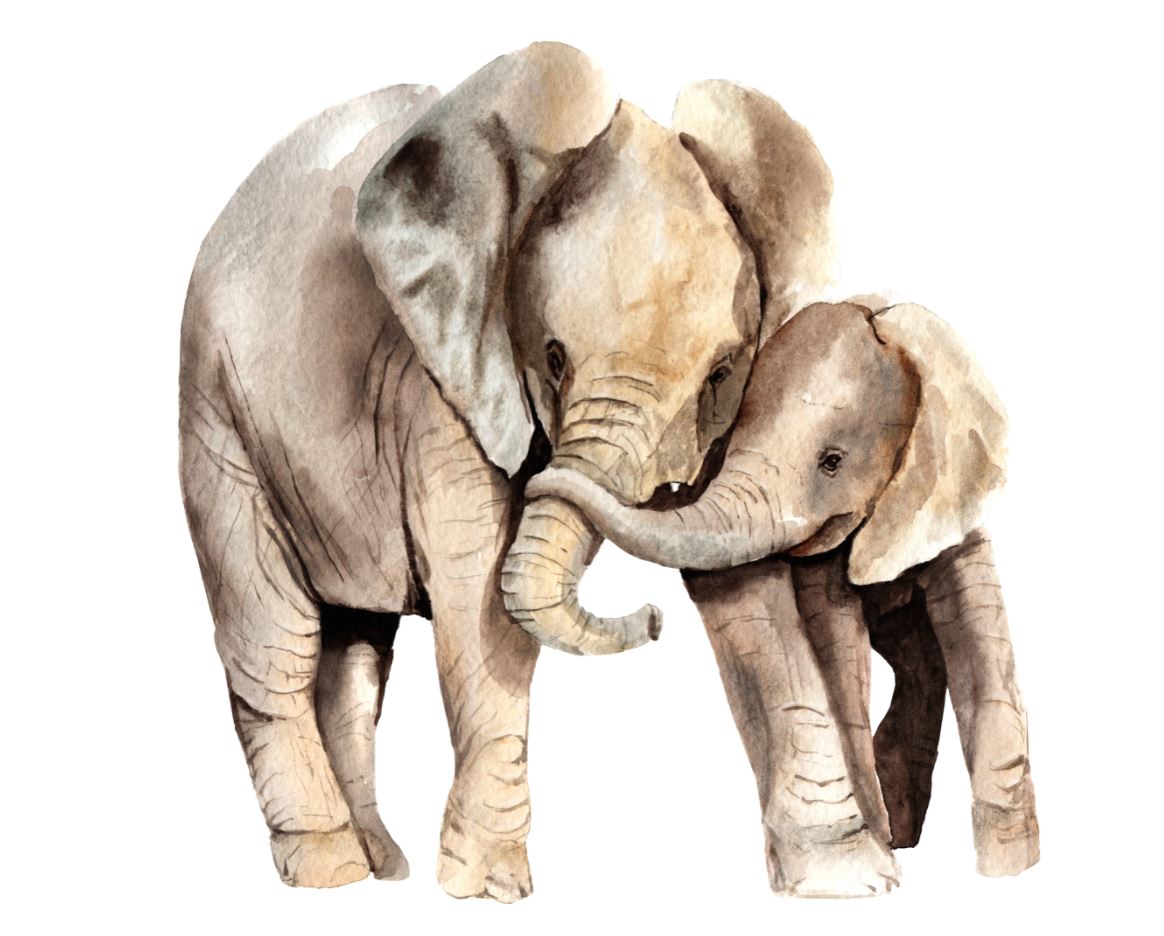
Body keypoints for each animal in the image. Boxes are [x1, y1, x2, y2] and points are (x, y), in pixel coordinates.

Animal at [178, 43, 834, 899]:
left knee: (356, 647)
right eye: (551, 358)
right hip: (216, 408)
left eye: (722, 374)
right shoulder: (437, 382)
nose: (655, 619)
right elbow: (481, 607)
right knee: (274, 637)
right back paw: (329, 869)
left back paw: (383, 867)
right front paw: (487, 890)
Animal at [526, 300, 1040, 892]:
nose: (655, 618)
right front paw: (875, 870)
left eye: (832, 461)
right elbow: (836, 646)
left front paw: (1008, 870)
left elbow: (979, 635)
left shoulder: (950, 497)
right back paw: (895, 832)